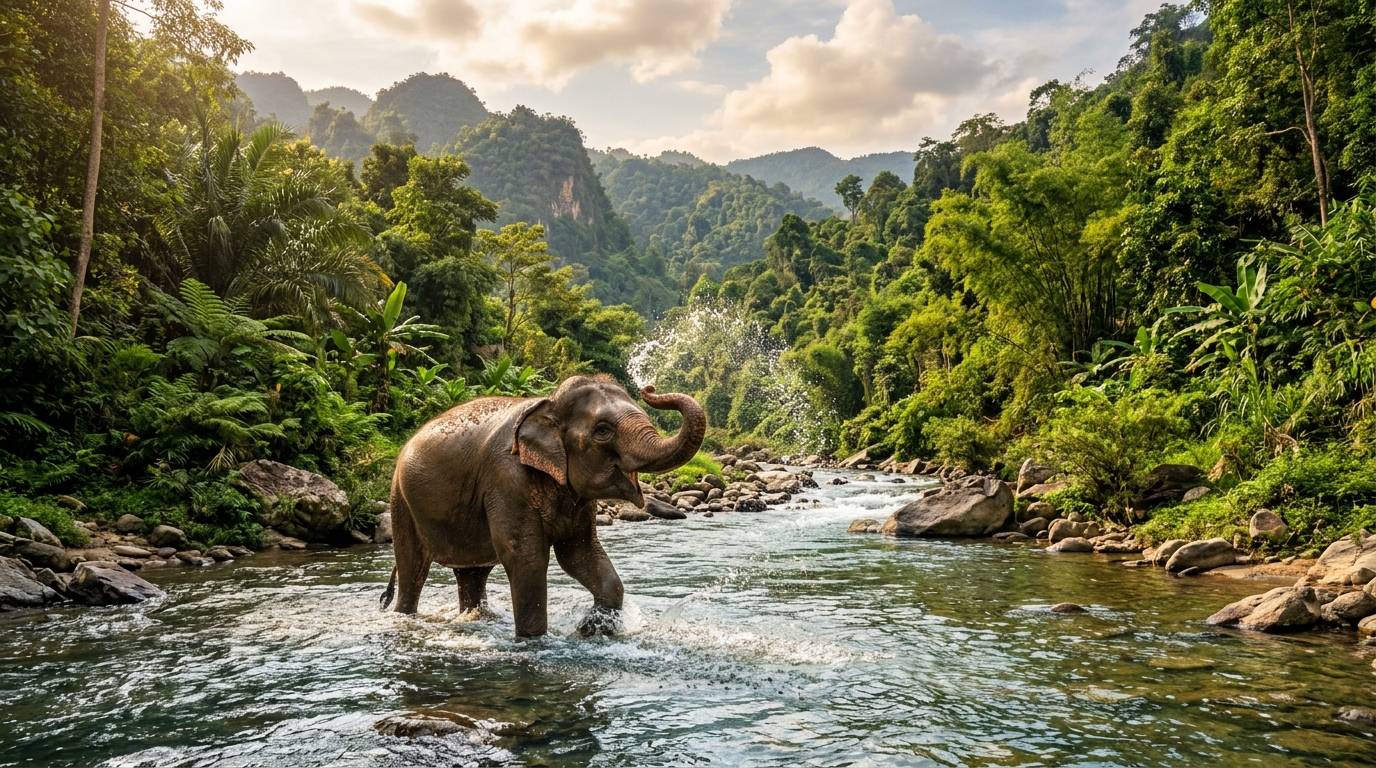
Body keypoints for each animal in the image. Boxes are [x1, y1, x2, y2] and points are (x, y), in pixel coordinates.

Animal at [380, 374, 706, 637]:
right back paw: (406, 616)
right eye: (603, 431)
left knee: (472, 574)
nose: (649, 388)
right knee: (412, 571)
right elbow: (525, 556)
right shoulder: (506, 479)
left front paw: (591, 629)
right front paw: (533, 640)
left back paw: (476, 619)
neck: (548, 405)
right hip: (401, 501)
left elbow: (579, 553)